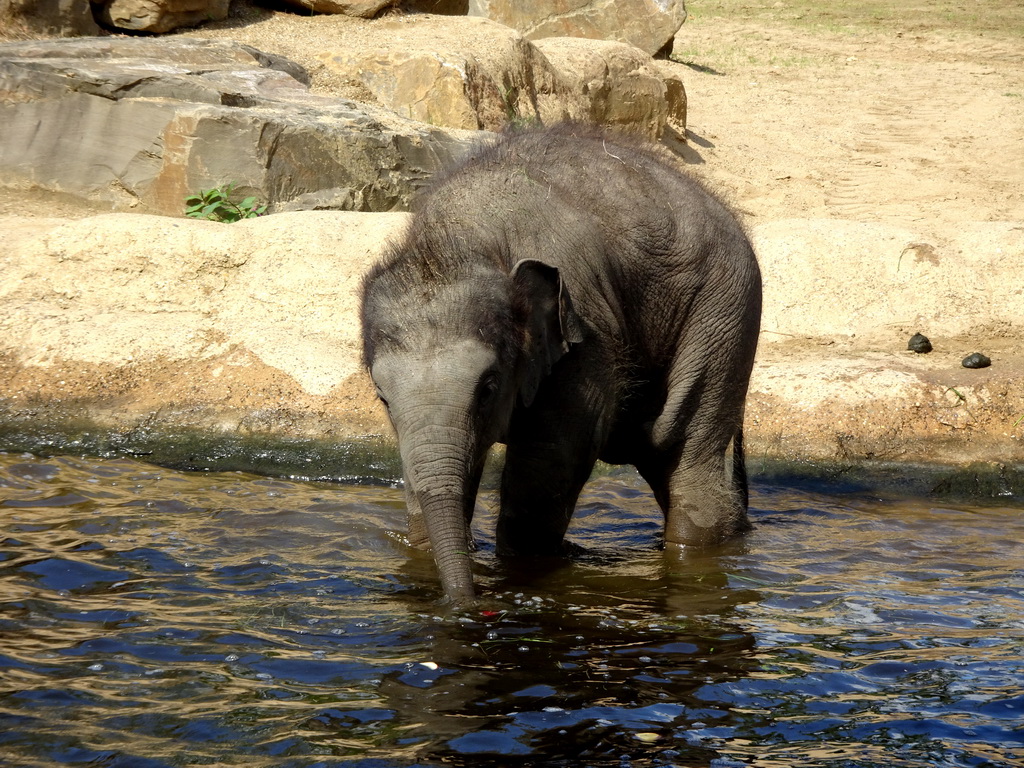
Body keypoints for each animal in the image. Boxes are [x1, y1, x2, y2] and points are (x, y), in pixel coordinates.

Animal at [360, 123, 761, 606]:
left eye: (488, 388)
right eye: (382, 398)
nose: (463, 605)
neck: (457, 242)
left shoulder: (586, 330)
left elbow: (551, 463)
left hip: (724, 310)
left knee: (684, 453)